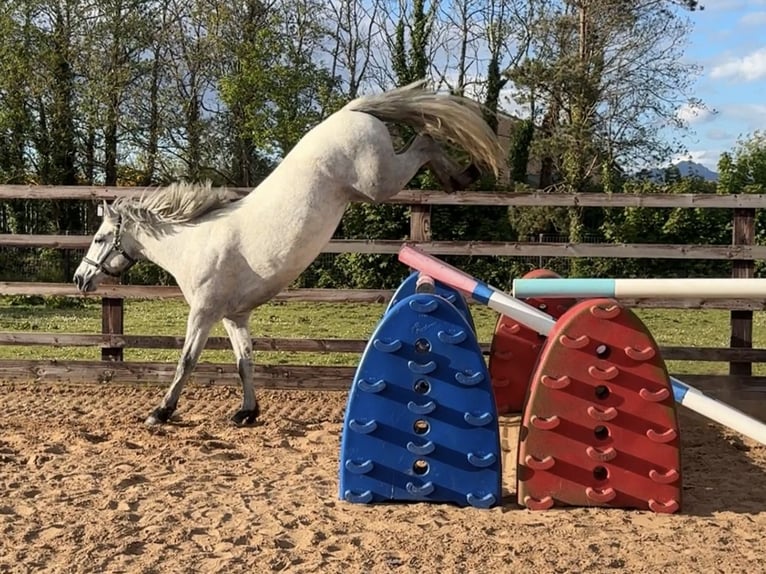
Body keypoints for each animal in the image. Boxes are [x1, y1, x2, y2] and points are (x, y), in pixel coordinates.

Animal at [73, 81, 505, 427]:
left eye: (99, 238)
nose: (80, 279)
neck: (193, 244)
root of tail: (350, 111)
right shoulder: (234, 316)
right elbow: (244, 362)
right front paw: (246, 413)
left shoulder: (204, 313)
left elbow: (187, 361)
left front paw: (160, 412)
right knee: (427, 141)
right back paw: (461, 177)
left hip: (379, 182)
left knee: (426, 142)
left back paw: (464, 175)